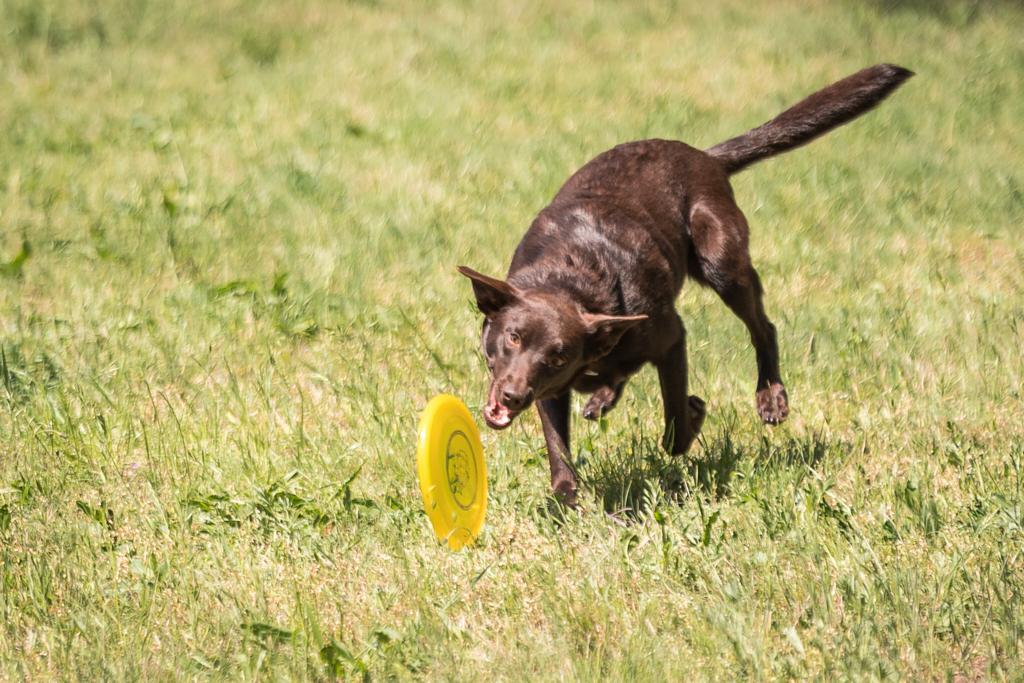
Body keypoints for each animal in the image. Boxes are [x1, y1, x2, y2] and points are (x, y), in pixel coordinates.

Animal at [458, 63, 913, 505]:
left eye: (558, 355)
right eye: (513, 337)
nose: (512, 397)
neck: (573, 280)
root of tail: (702, 156)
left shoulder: (669, 338)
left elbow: (676, 417)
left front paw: (692, 417)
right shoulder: (550, 389)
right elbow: (558, 444)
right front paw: (566, 497)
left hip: (722, 260)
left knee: (763, 327)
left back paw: (770, 396)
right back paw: (603, 396)